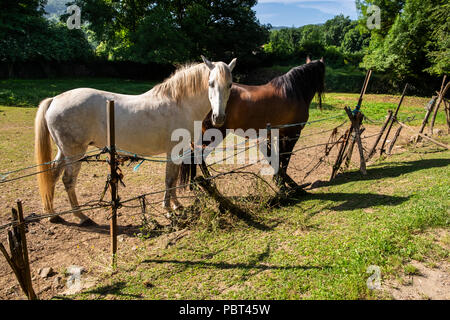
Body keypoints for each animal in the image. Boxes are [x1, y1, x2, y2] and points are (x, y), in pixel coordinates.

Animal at [35, 56, 237, 225]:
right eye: (210, 83)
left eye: (229, 85)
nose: (219, 117)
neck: (180, 104)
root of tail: (55, 99)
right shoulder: (172, 151)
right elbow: (169, 179)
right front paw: (168, 209)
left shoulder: (178, 151)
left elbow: (172, 179)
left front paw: (176, 205)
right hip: (75, 152)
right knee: (68, 180)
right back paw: (81, 216)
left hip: (64, 151)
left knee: (52, 174)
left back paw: (53, 214)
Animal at [181, 57, 326, 190]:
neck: (293, 91)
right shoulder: (292, 134)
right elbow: (285, 158)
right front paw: (284, 184)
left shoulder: (279, 134)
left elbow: (278, 157)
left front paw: (278, 181)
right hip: (213, 134)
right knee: (198, 154)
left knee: (193, 154)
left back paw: (194, 185)